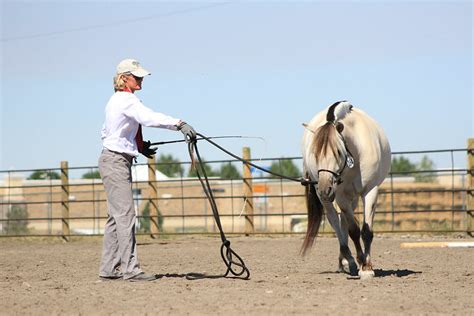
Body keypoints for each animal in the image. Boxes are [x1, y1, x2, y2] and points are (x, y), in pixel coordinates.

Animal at [302, 100, 390, 278]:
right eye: (314, 153)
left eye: (338, 151)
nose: (324, 189)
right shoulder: (340, 195)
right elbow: (353, 230)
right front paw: (360, 261)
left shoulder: (370, 191)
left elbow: (366, 231)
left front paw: (367, 267)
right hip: (332, 198)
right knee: (336, 222)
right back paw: (348, 260)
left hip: (351, 197)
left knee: (342, 221)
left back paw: (344, 261)